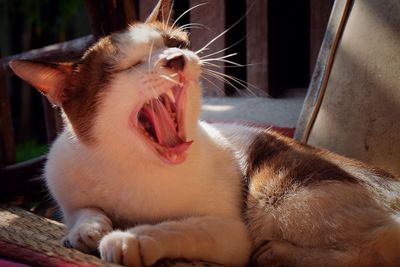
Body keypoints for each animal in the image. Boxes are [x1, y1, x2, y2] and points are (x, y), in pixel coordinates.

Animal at [8, 0, 400, 267]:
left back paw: (274, 253)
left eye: (175, 43)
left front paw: (129, 239)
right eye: (129, 65)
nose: (176, 59)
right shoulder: (65, 189)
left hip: (274, 193)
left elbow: (179, 228)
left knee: (379, 246)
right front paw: (86, 230)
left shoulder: (230, 233)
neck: (133, 167)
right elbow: (82, 210)